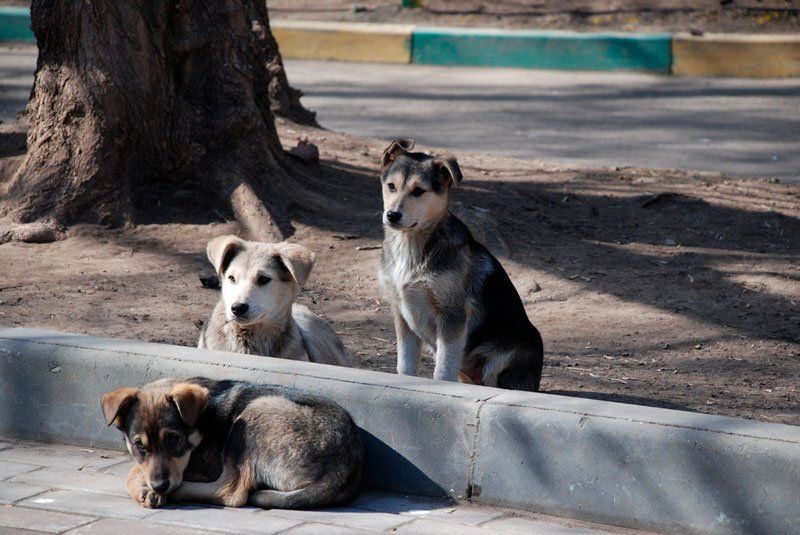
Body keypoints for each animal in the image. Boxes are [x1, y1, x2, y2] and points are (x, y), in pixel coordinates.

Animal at [101, 376, 364, 510]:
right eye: (139, 445)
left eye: (174, 439)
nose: (159, 486)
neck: (203, 419)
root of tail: (343, 470)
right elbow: (138, 467)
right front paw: (146, 489)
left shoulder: (204, 464)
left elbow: (133, 471)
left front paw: (147, 488)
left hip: (256, 412)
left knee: (232, 492)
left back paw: (178, 493)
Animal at [376, 138, 544, 392]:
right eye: (391, 187)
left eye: (418, 191)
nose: (392, 215)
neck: (411, 245)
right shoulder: (401, 314)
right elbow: (405, 366)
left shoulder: (453, 316)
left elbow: (443, 371)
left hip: (506, 355)